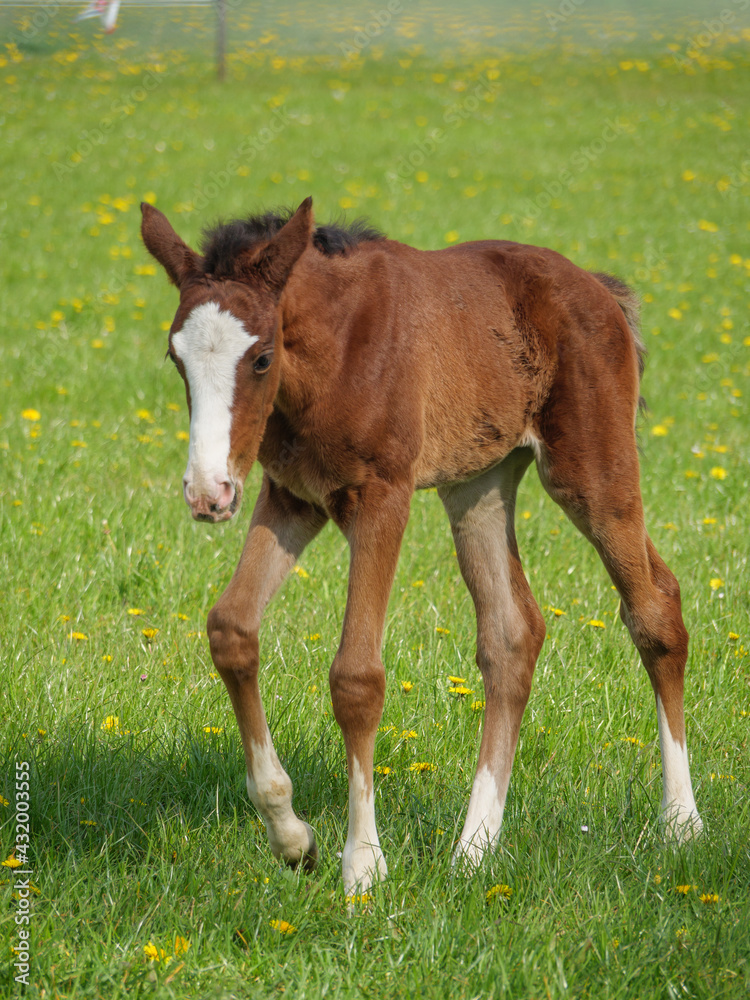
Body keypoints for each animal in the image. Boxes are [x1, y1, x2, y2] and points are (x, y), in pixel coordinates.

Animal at [140, 196, 702, 895]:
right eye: (176, 359)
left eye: (262, 357)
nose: (208, 492)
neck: (335, 353)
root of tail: (600, 289)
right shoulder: (292, 496)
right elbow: (231, 629)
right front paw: (293, 838)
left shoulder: (383, 496)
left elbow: (356, 676)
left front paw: (363, 865)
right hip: (478, 484)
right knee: (512, 634)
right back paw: (474, 849)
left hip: (592, 471)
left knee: (655, 608)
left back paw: (680, 822)